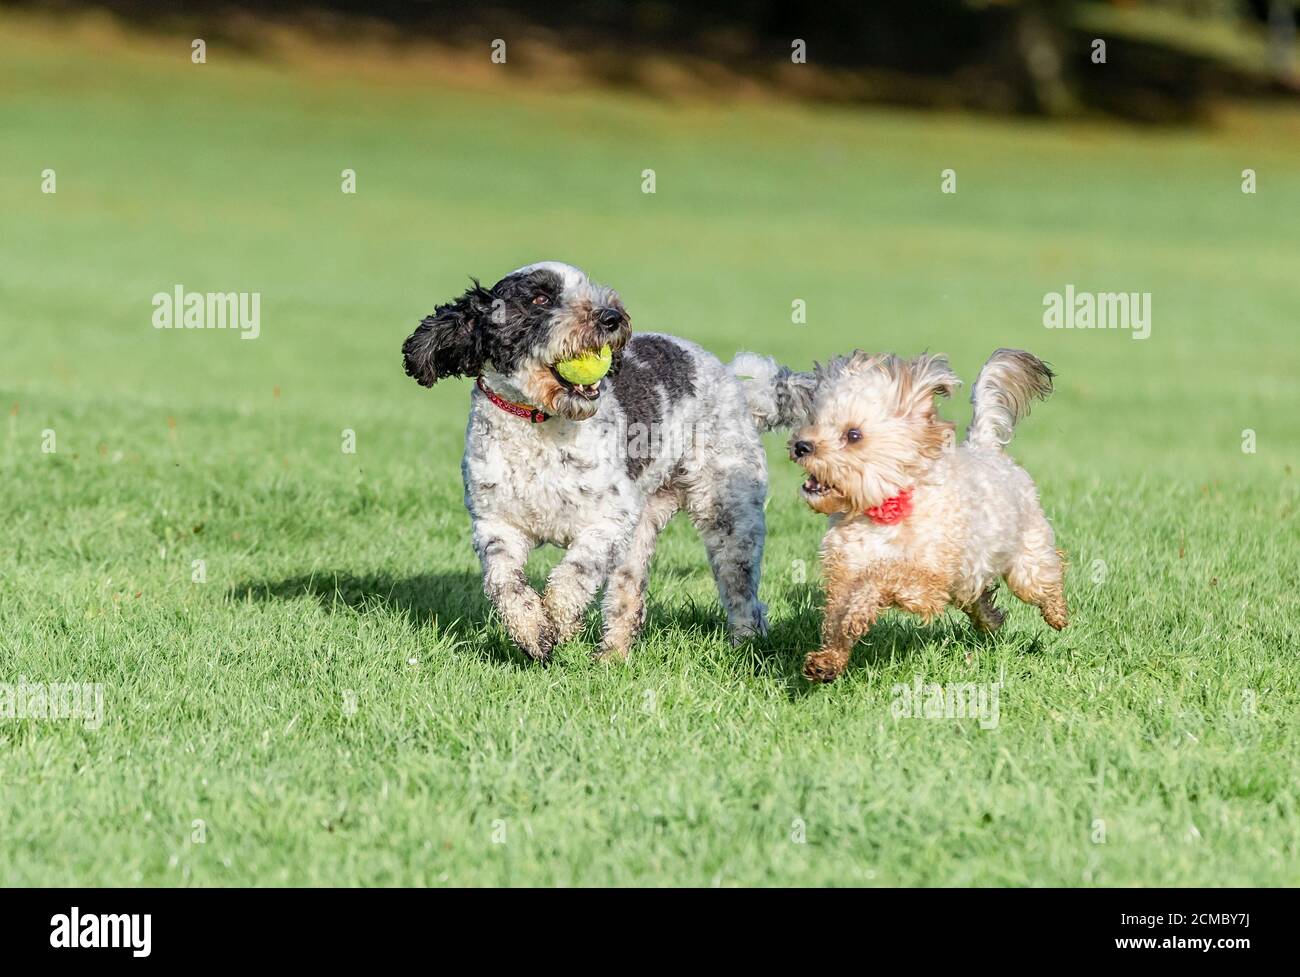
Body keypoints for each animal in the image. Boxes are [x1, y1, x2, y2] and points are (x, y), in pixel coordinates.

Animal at [400, 263, 806, 659]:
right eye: (540, 298)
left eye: (589, 288)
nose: (611, 317)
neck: (538, 423)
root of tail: (736, 382)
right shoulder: (496, 524)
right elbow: (504, 582)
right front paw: (533, 631)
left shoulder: (610, 519)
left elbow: (575, 571)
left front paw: (560, 619)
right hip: (642, 528)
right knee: (628, 597)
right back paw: (612, 657)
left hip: (728, 514)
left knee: (742, 593)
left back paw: (747, 643)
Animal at [790, 348, 1066, 680]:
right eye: (815, 421)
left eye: (853, 435)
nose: (801, 446)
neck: (884, 509)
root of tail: (985, 447)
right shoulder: (843, 572)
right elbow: (836, 620)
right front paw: (826, 662)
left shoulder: (927, 582)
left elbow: (880, 577)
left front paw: (864, 601)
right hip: (969, 576)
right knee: (978, 597)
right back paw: (990, 620)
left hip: (1026, 563)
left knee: (1044, 577)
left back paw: (1057, 614)